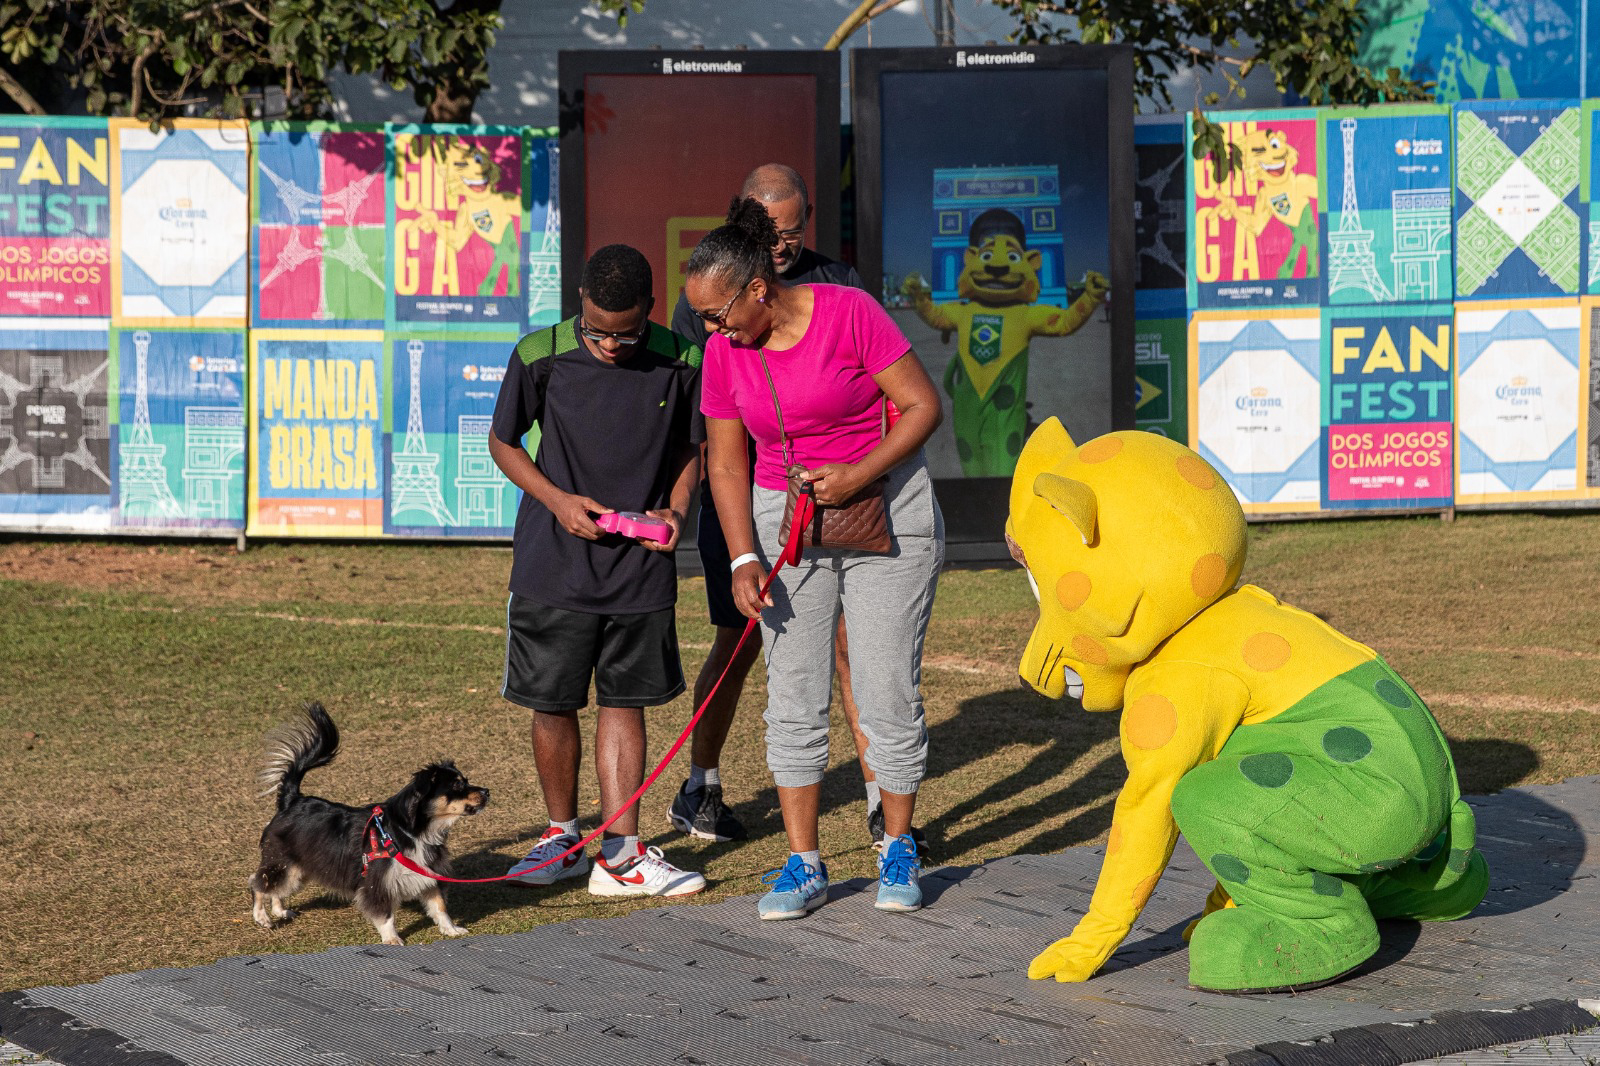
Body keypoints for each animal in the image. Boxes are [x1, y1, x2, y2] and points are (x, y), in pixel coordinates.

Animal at [246, 701, 486, 941]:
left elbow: (439, 906)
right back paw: (262, 916)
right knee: (257, 882)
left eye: (466, 781)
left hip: (298, 868)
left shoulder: (428, 871)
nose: (487, 791)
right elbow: (385, 914)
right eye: (457, 785)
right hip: (283, 863)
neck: (411, 830)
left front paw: (451, 929)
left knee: (274, 887)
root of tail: (292, 799)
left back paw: (279, 910)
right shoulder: (377, 882)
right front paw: (391, 939)